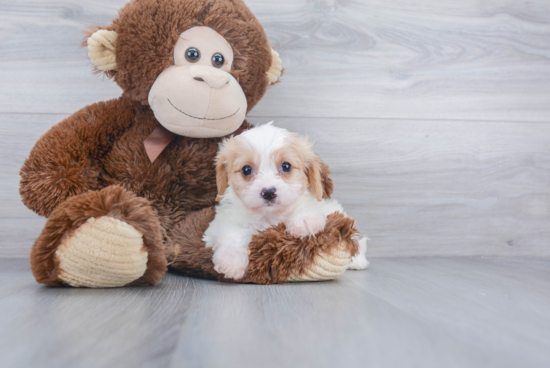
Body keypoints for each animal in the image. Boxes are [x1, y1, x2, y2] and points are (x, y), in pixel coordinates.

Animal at [204, 123, 370, 278]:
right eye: (246, 170)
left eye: (286, 166)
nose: (268, 192)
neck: (269, 216)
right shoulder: (223, 220)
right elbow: (233, 232)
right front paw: (231, 258)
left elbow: (309, 206)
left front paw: (304, 221)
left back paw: (358, 261)